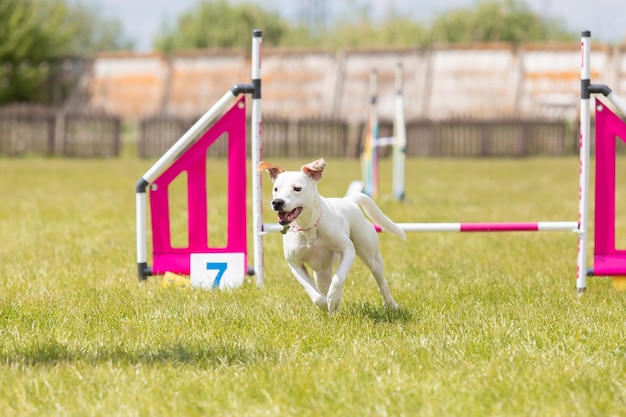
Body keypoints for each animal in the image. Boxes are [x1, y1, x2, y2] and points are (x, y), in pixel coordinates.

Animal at [258, 158, 404, 314]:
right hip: (321, 276)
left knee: (382, 283)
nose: (277, 202)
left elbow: (338, 278)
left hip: (371, 257)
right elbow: (314, 294)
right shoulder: (294, 264)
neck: (309, 227)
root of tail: (349, 201)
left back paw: (392, 305)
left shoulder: (348, 250)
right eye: (276, 189)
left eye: (297, 188)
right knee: (323, 285)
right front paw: (325, 303)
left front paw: (333, 298)